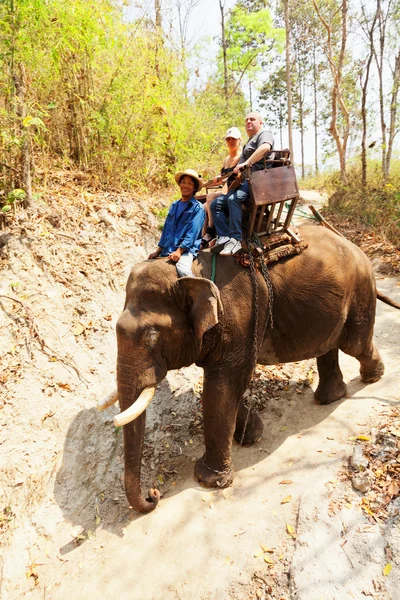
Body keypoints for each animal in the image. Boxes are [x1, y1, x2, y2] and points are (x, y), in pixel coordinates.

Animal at [100, 223, 400, 512]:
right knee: (330, 346)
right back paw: (331, 397)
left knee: (354, 344)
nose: (153, 495)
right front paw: (252, 435)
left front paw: (209, 479)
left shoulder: (240, 318)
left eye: (152, 336)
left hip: (359, 289)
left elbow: (222, 386)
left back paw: (373, 377)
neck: (191, 272)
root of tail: (354, 245)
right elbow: (226, 385)